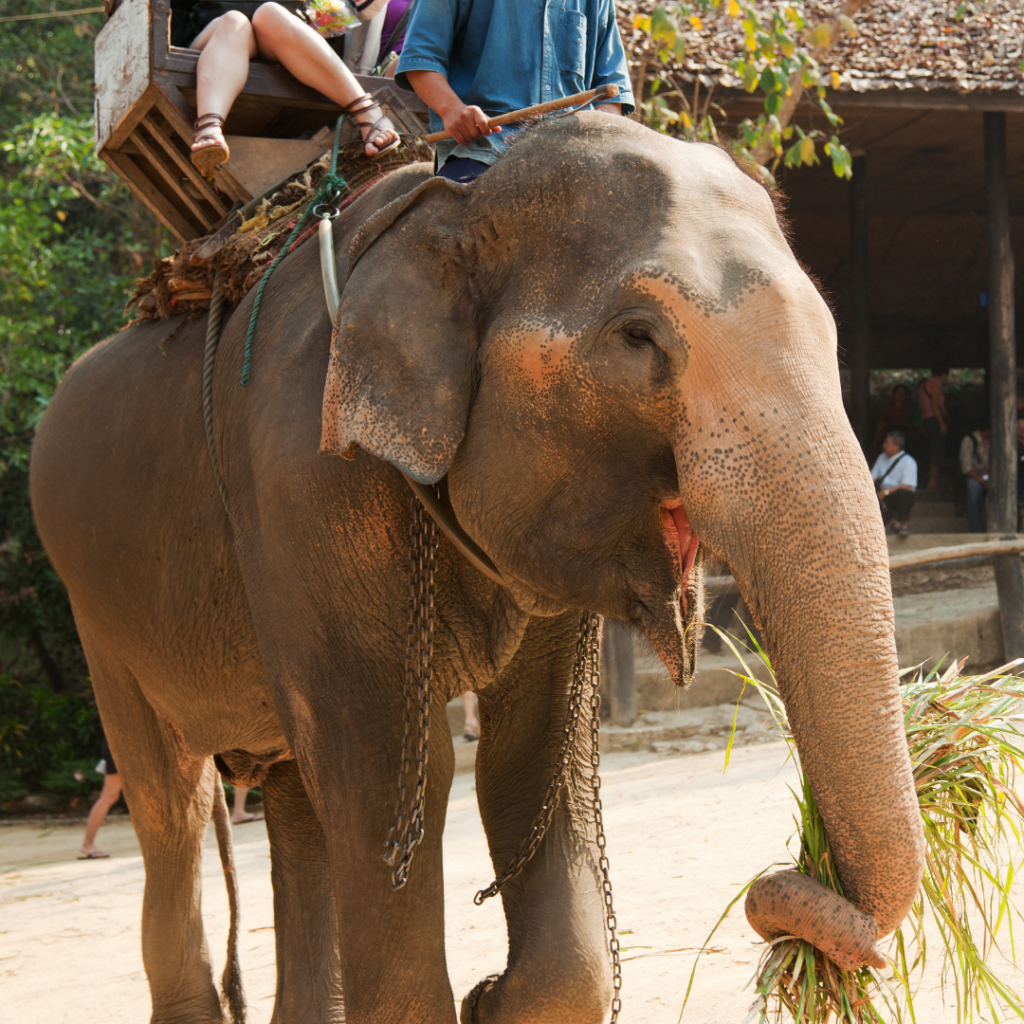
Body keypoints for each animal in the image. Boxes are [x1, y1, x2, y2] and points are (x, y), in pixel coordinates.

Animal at [34, 116, 929, 1024]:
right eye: (637, 337)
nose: (796, 881)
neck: (457, 207)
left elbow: (528, 757)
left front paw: (491, 999)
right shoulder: (305, 481)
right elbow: (394, 782)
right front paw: (476, 993)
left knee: (294, 802)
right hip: (95, 609)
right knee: (171, 805)